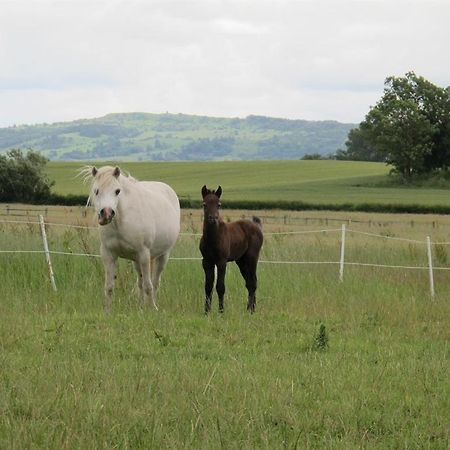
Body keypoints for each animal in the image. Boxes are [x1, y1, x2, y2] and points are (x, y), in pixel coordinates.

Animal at [81, 166, 180, 312]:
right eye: (96, 191)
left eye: (117, 191)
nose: (106, 214)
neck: (121, 222)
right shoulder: (108, 254)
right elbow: (109, 286)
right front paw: (108, 311)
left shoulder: (144, 254)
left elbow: (148, 286)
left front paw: (152, 309)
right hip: (137, 261)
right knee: (140, 281)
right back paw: (140, 306)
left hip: (163, 255)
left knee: (155, 282)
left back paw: (152, 304)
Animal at [200, 185, 264, 314]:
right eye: (204, 204)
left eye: (219, 204)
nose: (212, 219)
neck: (213, 238)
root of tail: (256, 226)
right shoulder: (206, 261)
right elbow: (208, 286)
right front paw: (206, 312)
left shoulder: (221, 262)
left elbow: (220, 287)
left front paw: (221, 311)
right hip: (241, 262)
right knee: (249, 283)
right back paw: (251, 308)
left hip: (252, 258)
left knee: (253, 283)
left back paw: (250, 311)